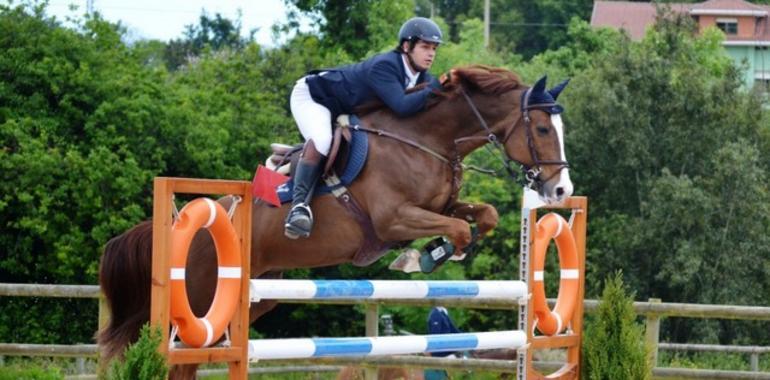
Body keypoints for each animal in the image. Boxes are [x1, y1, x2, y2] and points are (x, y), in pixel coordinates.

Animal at [96, 64, 568, 378]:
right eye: (544, 129)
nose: (561, 190)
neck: (426, 139)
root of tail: (199, 218)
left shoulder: (440, 206)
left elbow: (481, 217)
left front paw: (436, 254)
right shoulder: (393, 220)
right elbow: (458, 229)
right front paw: (422, 258)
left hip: (259, 293)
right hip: (199, 294)